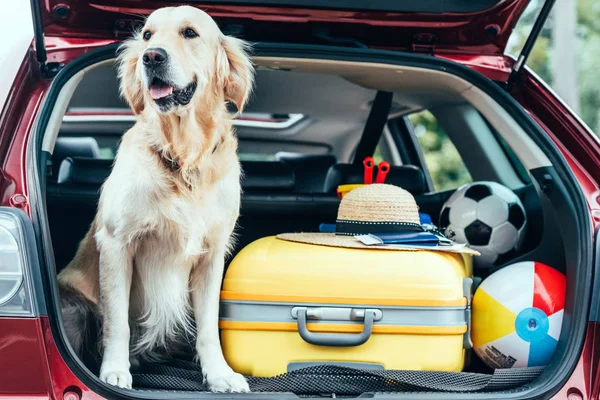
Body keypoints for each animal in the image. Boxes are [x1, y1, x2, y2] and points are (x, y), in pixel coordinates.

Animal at [59, 6, 258, 392]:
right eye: (148, 35)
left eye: (190, 32)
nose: (151, 57)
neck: (183, 157)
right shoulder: (117, 243)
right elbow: (117, 322)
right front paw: (115, 371)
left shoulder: (212, 254)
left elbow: (208, 327)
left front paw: (220, 374)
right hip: (73, 304)